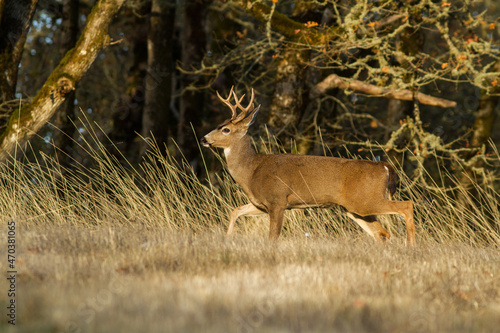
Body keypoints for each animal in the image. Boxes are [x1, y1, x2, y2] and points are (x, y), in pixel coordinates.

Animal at [201, 87, 416, 245]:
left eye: (226, 129)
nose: (204, 139)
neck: (251, 171)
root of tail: (384, 166)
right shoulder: (260, 204)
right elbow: (235, 210)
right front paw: (226, 239)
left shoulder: (278, 200)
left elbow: (272, 237)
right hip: (354, 208)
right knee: (382, 234)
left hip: (365, 200)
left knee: (406, 206)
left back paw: (411, 246)